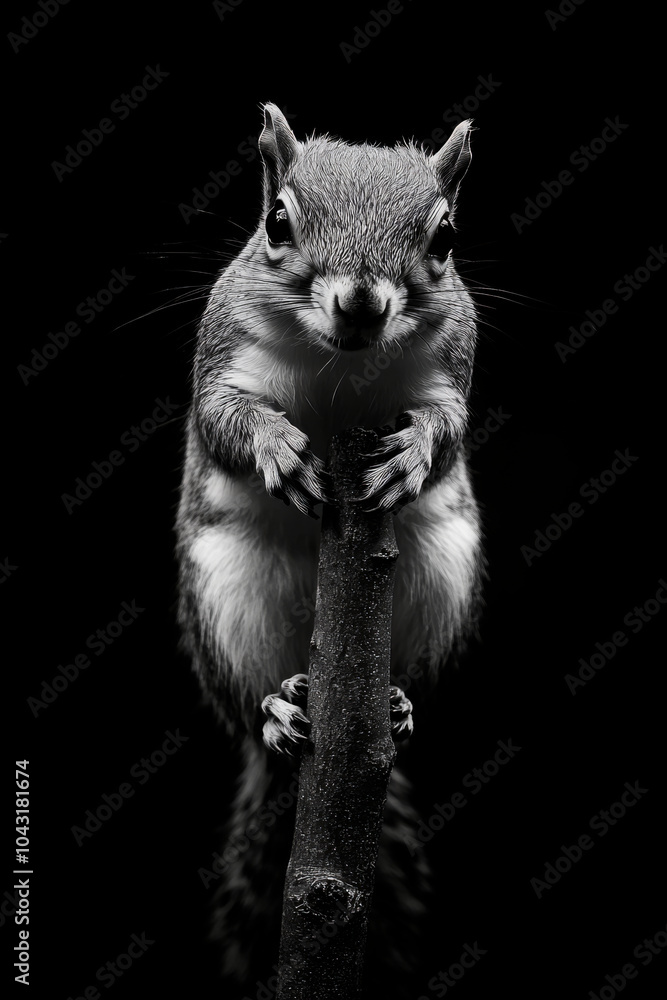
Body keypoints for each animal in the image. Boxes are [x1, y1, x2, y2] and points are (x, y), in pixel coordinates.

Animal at [175, 103, 484, 996]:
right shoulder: (223, 352)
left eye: (445, 235)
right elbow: (225, 420)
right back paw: (277, 709)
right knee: (251, 706)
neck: (342, 369)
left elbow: (446, 431)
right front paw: (275, 446)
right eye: (277, 221)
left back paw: (397, 704)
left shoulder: (452, 366)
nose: (360, 303)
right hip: (226, 598)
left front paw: (413, 453)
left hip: (443, 578)